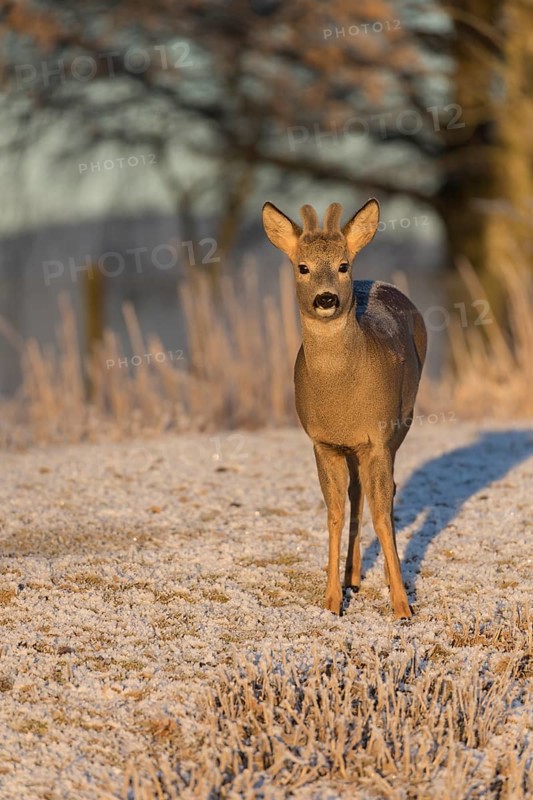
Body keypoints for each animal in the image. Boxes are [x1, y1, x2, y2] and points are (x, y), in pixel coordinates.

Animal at [262, 199, 427, 619]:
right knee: (357, 494)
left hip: (403, 421)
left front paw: (402, 606)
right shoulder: (323, 442)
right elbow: (334, 513)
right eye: (302, 267)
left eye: (343, 265)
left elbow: (383, 516)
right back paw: (353, 576)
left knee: (382, 494)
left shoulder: (378, 437)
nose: (326, 299)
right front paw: (332, 600)